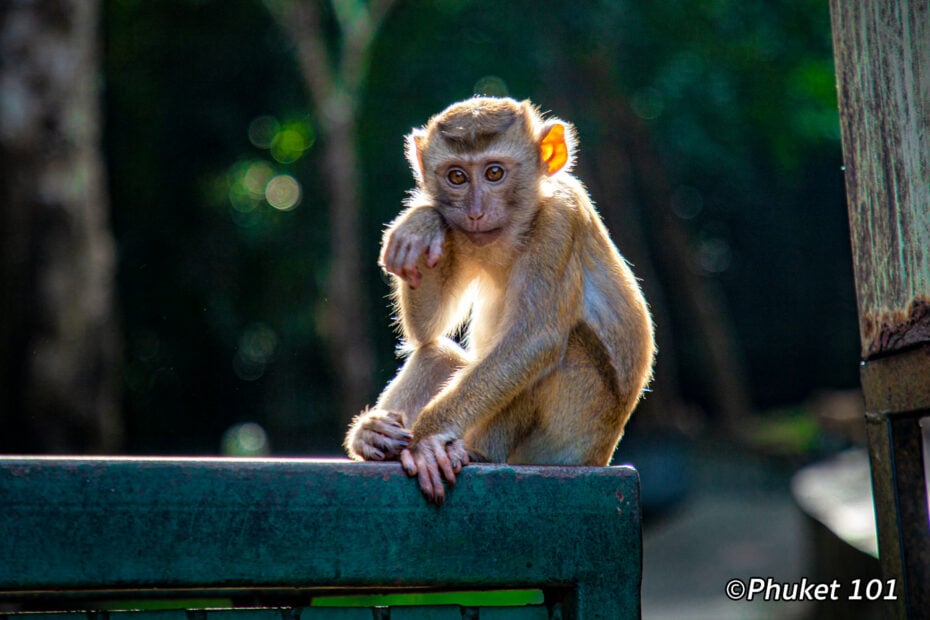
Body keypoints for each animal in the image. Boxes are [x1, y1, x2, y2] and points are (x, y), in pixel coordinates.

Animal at [344, 95, 656, 504]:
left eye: (494, 173)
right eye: (456, 177)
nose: (476, 212)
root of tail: (602, 456)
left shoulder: (560, 221)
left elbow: (533, 341)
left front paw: (426, 438)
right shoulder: (458, 233)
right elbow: (426, 330)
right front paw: (421, 222)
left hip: (570, 435)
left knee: (558, 350)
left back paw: (473, 452)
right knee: (438, 353)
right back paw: (373, 436)